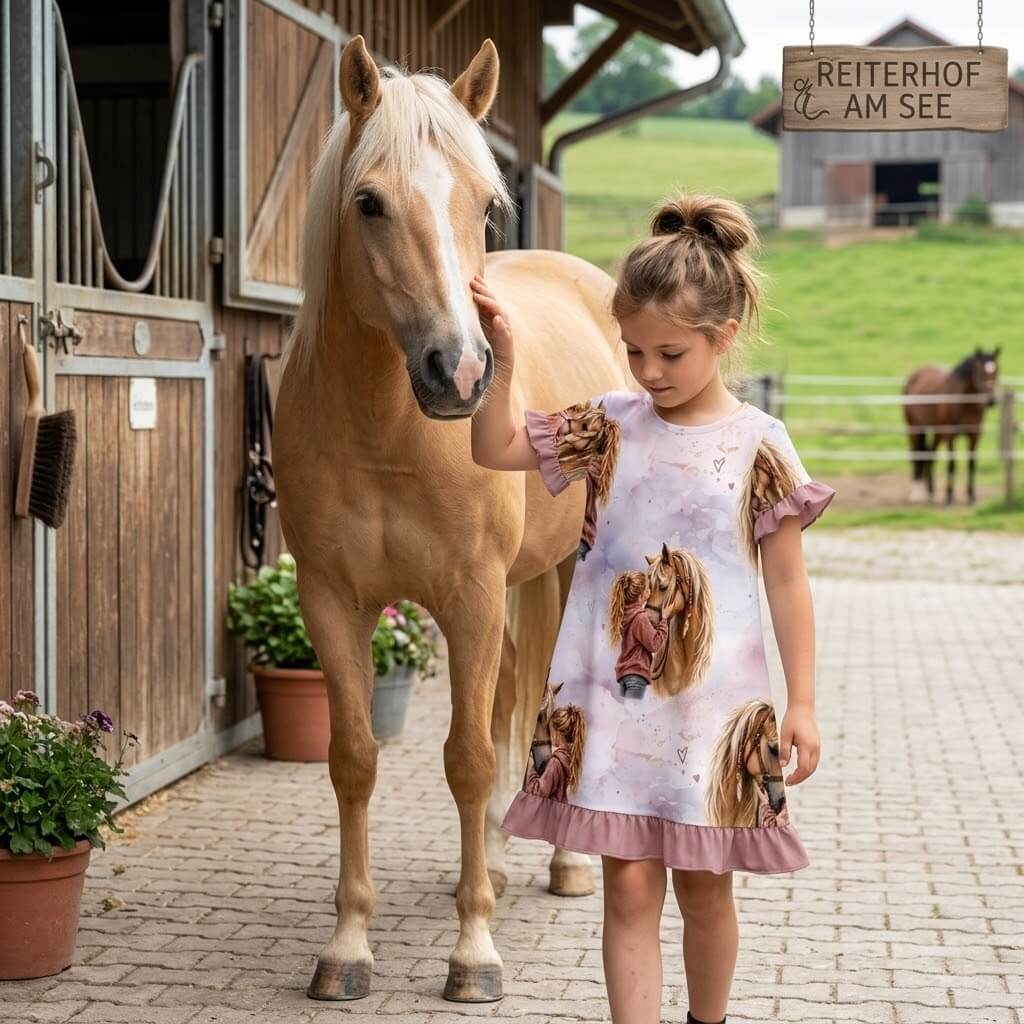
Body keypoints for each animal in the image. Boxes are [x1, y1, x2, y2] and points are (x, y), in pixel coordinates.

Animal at [271, 35, 636, 1003]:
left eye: (486, 203)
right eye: (368, 201)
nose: (462, 372)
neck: (386, 431)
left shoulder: (469, 596)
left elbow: (468, 760)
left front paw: (474, 954)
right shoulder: (333, 600)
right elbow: (355, 758)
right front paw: (348, 946)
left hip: (563, 574)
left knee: (544, 704)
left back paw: (564, 866)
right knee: (510, 695)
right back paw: (503, 863)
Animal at [902, 347, 1000, 505]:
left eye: (997, 370)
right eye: (980, 371)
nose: (991, 400)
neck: (965, 403)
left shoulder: (975, 435)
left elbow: (972, 463)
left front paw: (971, 496)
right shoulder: (950, 435)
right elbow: (952, 463)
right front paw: (950, 497)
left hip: (937, 431)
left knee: (930, 454)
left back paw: (930, 492)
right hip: (915, 428)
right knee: (916, 454)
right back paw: (916, 494)